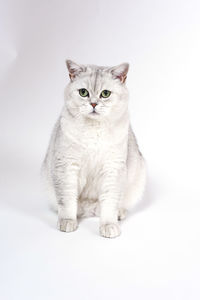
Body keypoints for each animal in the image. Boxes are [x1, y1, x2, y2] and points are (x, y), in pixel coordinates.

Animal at [41, 60, 145, 239]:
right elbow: (67, 200)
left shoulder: (112, 168)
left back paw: (119, 213)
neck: (93, 130)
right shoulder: (67, 166)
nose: (94, 104)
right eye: (83, 93)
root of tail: (89, 208)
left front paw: (109, 225)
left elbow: (109, 203)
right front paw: (67, 222)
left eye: (105, 94)